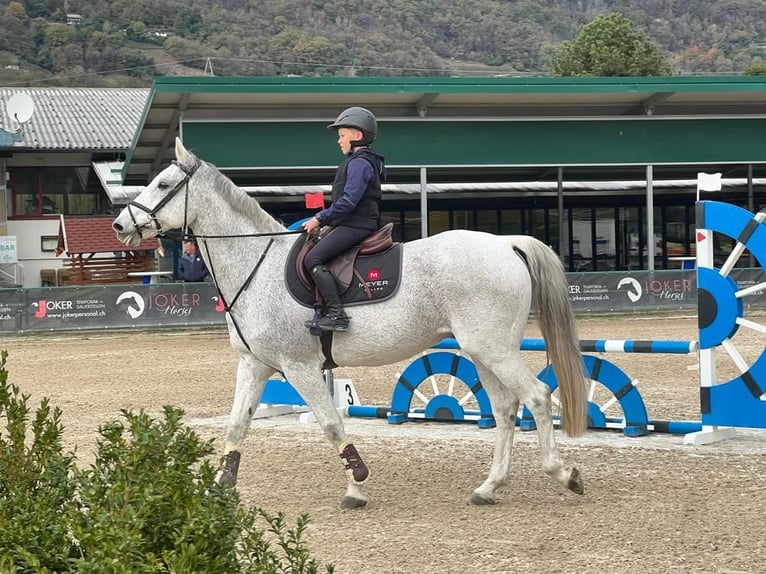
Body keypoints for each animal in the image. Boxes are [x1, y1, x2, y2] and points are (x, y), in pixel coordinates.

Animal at [112, 137, 588, 509]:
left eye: (164, 185)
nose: (120, 225)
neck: (256, 264)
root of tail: (507, 244)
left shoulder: (299, 367)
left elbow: (330, 424)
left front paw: (356, 487)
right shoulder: (254, 364)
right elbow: (237, 425)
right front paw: (220, 489)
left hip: (495, 349)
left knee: (538, 396)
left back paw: (563, 474)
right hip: (483, 350)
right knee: (506, 409)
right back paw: (489, 487)